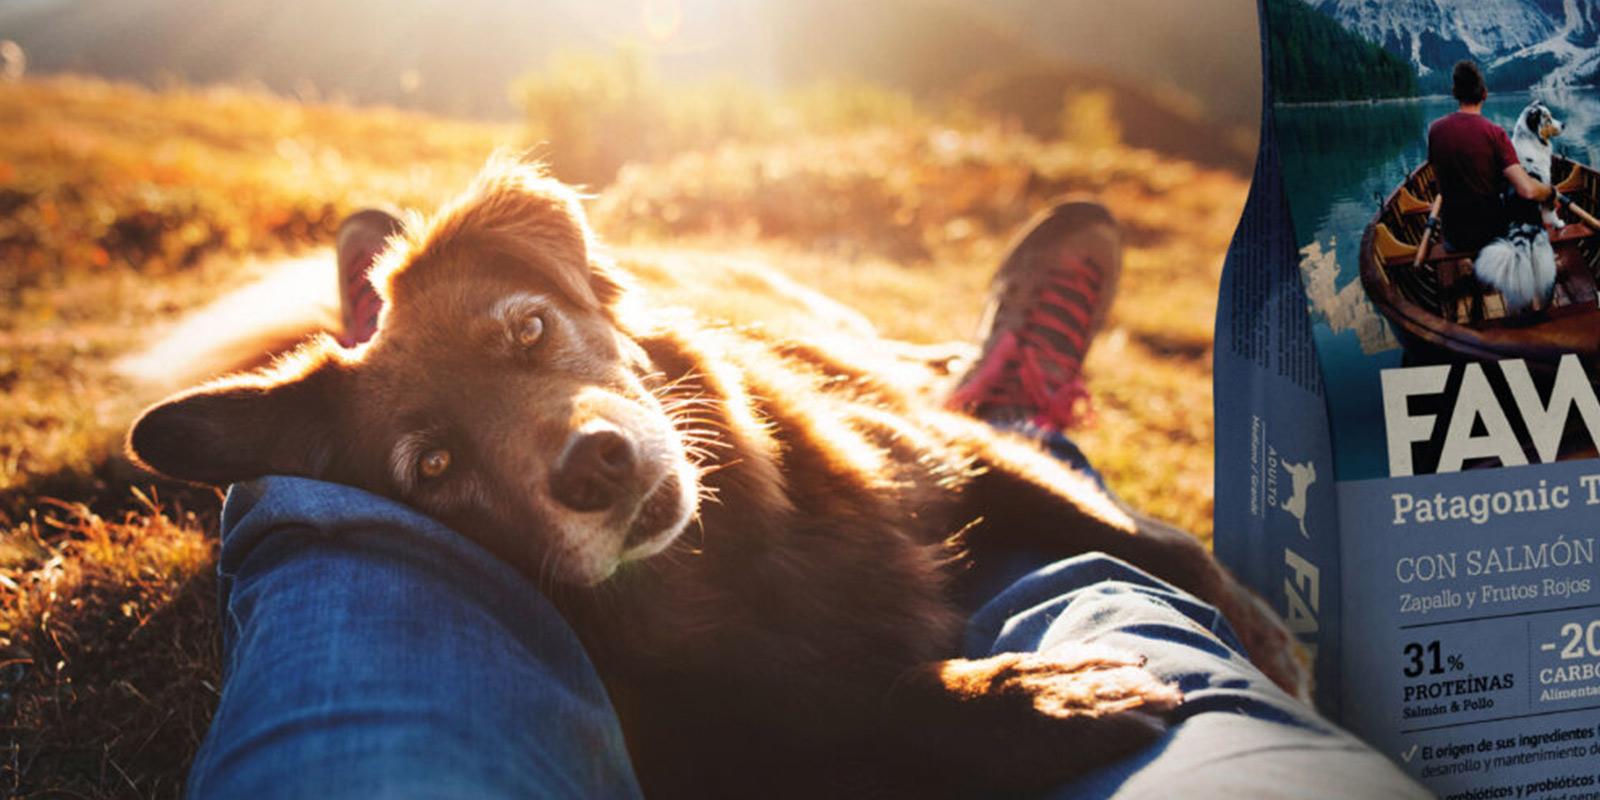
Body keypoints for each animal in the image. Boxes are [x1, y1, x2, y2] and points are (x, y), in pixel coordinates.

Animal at [1472, 99, 1561, 312]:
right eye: (1548, 118)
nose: (1563, 125)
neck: (1529, 139)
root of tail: (1523, 237)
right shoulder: (1546, 189)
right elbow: (1551, 210)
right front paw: (1559, 223)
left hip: (1514, 283)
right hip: (1546, 270)